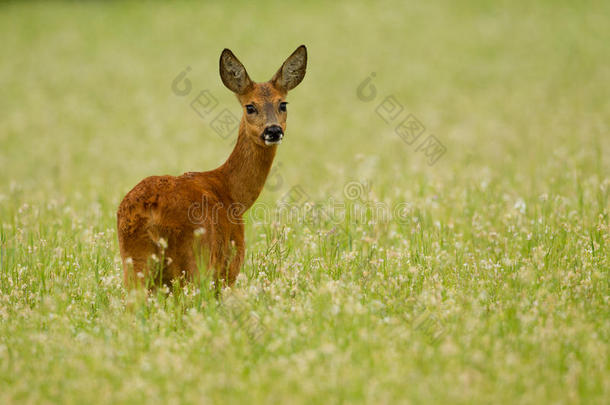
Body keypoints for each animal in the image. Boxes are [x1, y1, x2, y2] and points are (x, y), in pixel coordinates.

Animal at [116, 45, 306, 288]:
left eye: (283, 104)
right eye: (250, 107)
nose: (273, 130)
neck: (232, 193)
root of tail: (149, 209)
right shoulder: (230, 265)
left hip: (134, 261)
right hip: (195, 261)